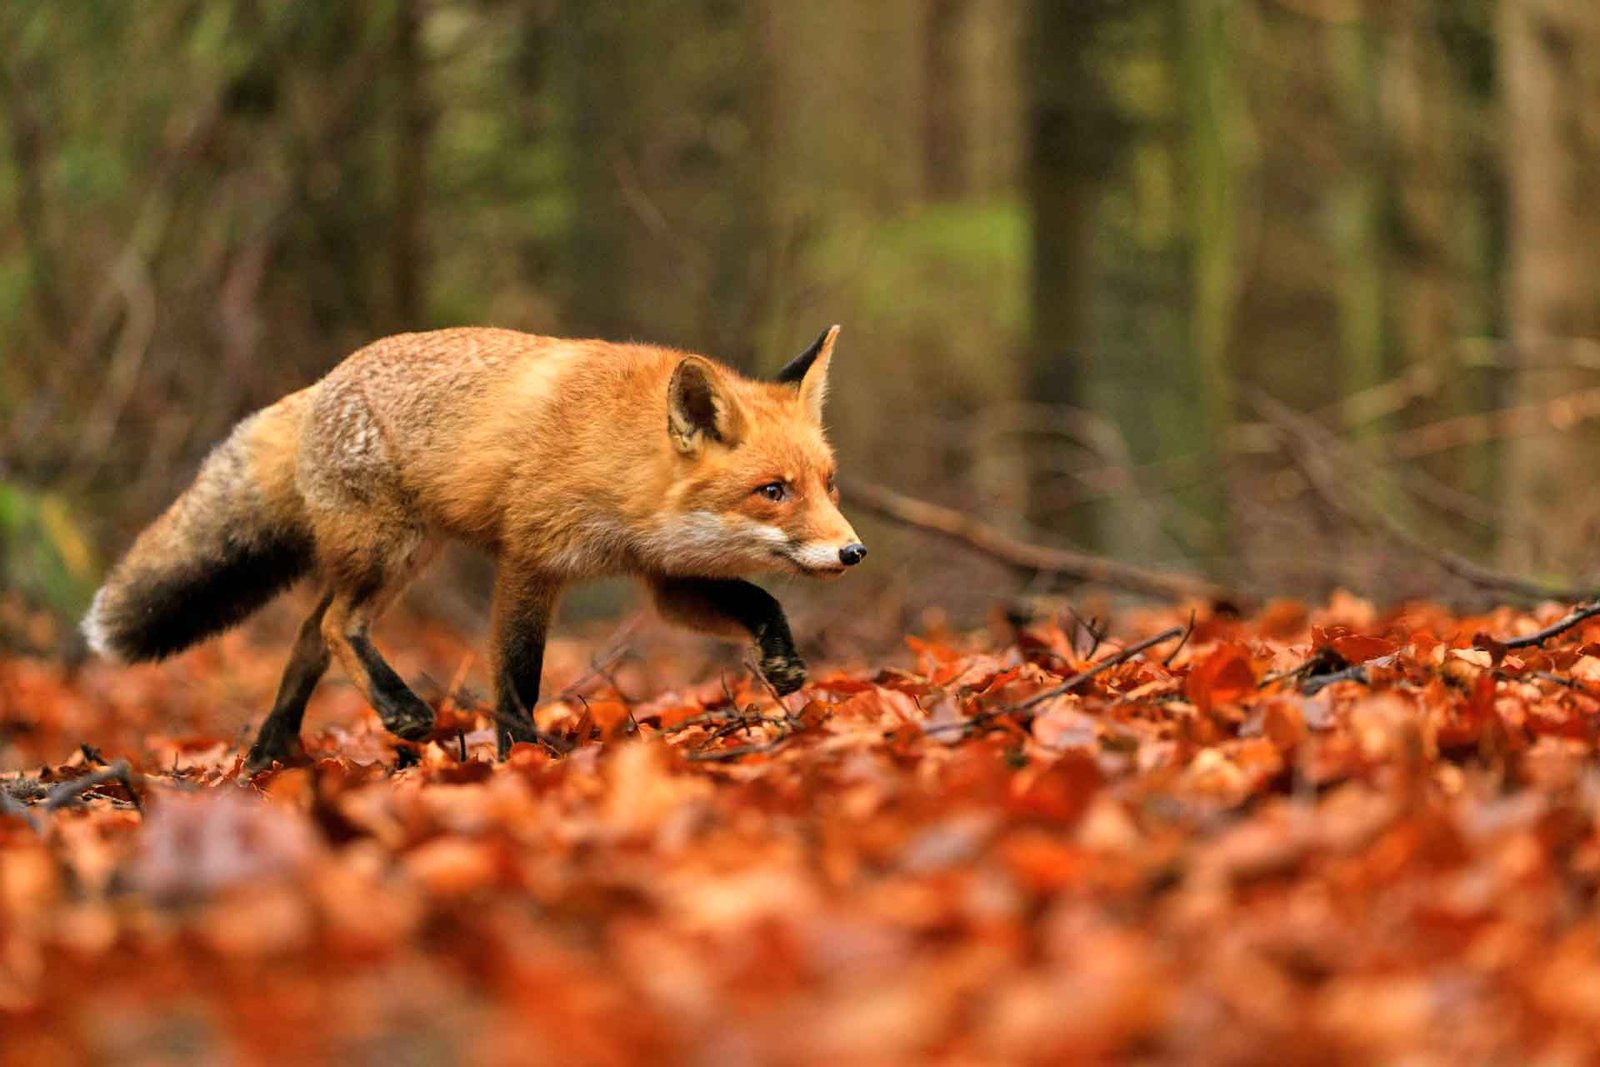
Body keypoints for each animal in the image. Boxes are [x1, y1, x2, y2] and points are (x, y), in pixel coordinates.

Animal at [82, 326, 866, 770]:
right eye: (773, 490)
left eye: (828, 483)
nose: (853, 552)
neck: (620, 460)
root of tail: (319, 383)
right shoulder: (529, 559)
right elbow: (516, 678)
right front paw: (521, 760)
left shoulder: (663, 575)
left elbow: (758, 599)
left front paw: (782, 660)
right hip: (390, 551)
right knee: (334, 625)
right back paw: (398, 710)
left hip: (394, 556)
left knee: (308, 633)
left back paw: (269, 756)